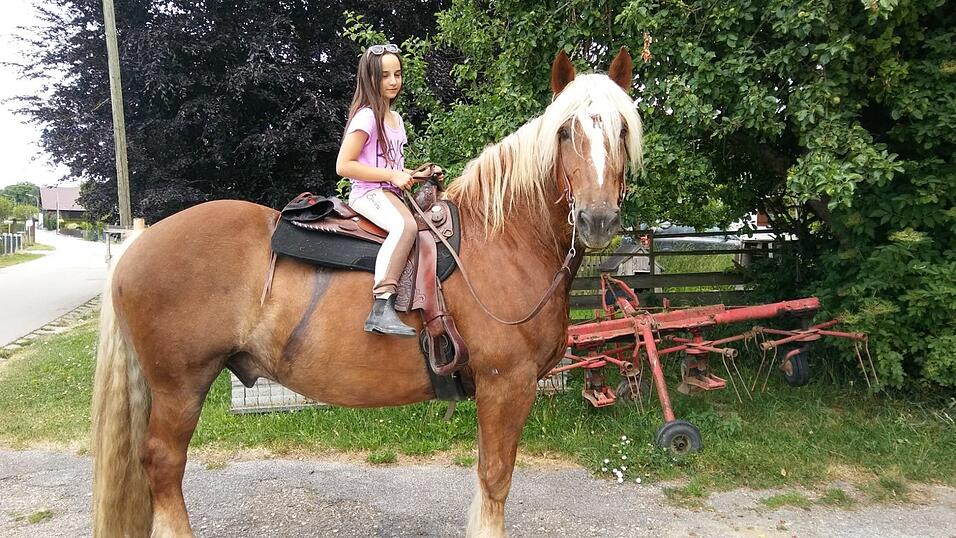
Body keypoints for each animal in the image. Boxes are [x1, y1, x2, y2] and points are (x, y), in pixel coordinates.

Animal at [91, 47, 643, 537]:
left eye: (621, 129)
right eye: (566, 130)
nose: (597, 219)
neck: (502, 240)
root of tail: (139, 243)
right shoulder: (506, 384)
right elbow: (495, 479)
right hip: (180, 386)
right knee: (164, 464)